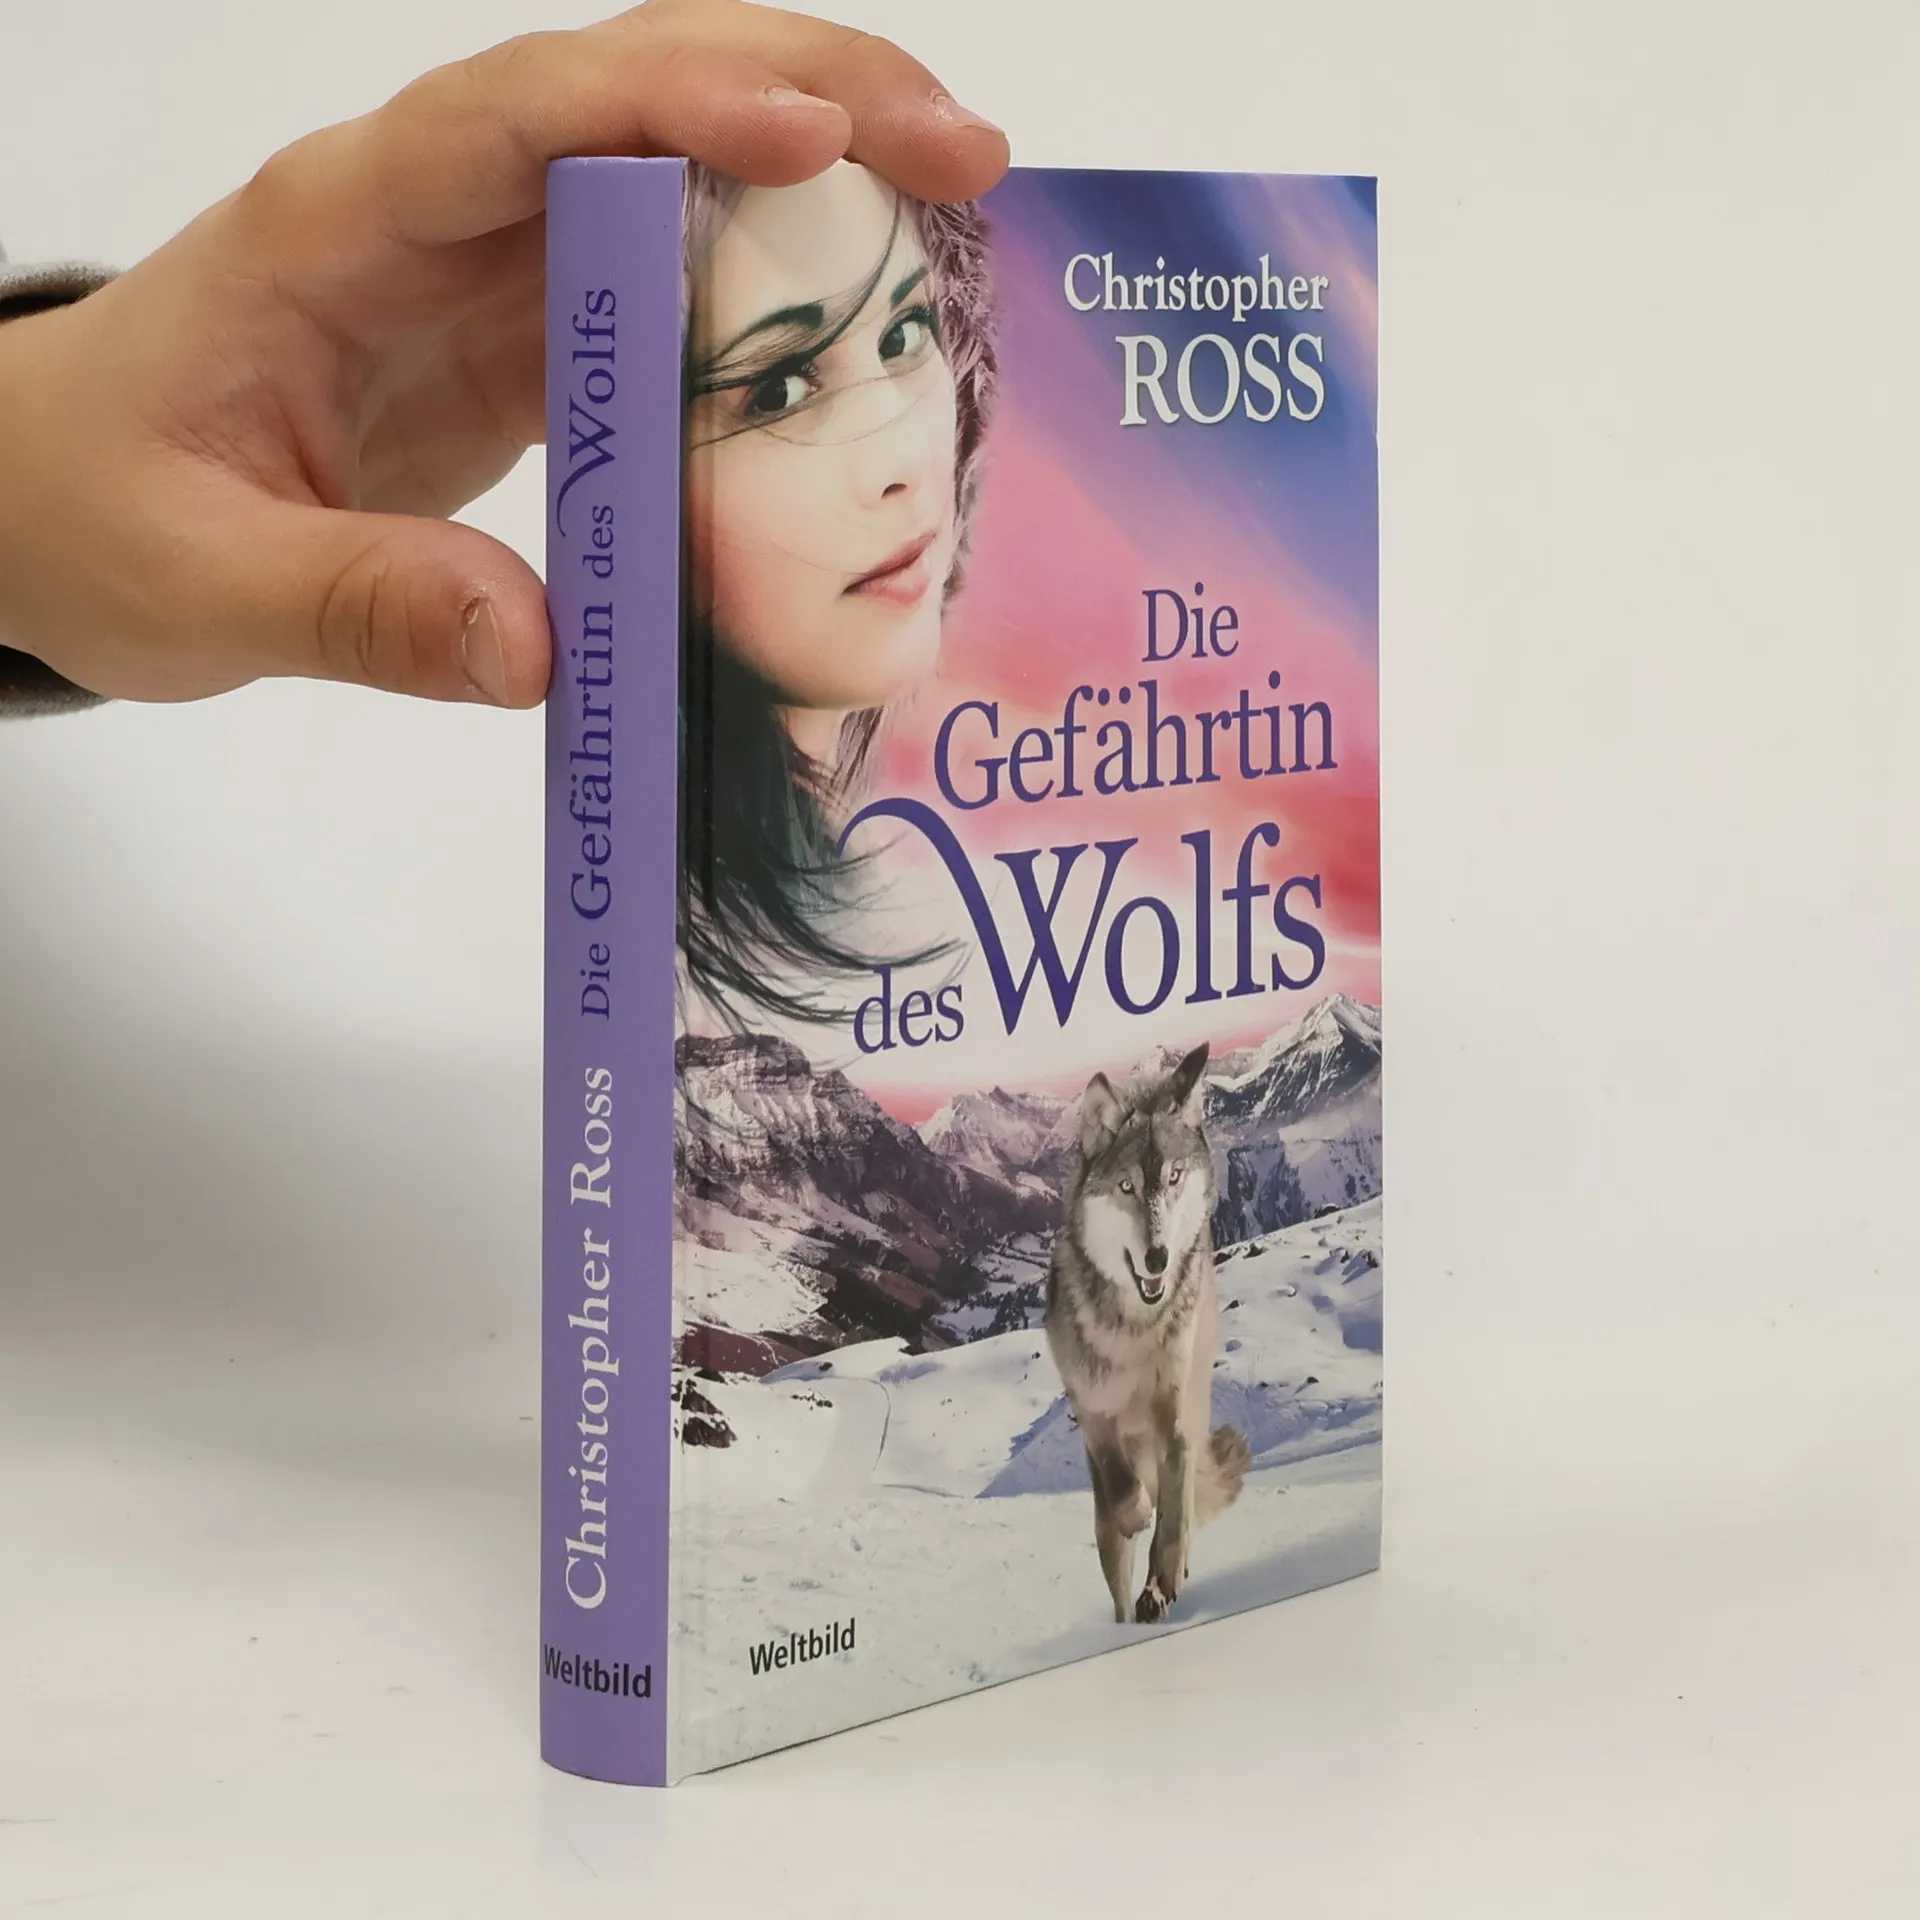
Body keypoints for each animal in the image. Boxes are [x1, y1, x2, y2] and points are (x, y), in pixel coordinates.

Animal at [1045, 1042, 1252, 1624]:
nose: (1157, 1257)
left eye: (1175, 1177)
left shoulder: (1176, 1418)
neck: (1133, 1329)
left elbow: (1174, 1518)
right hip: (1105, 1535)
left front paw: (1161, 1584)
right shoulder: (1092, 1413)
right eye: (1127, 1187)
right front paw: (1135, 1512)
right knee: (1115, 1578)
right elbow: (1121, 1488)